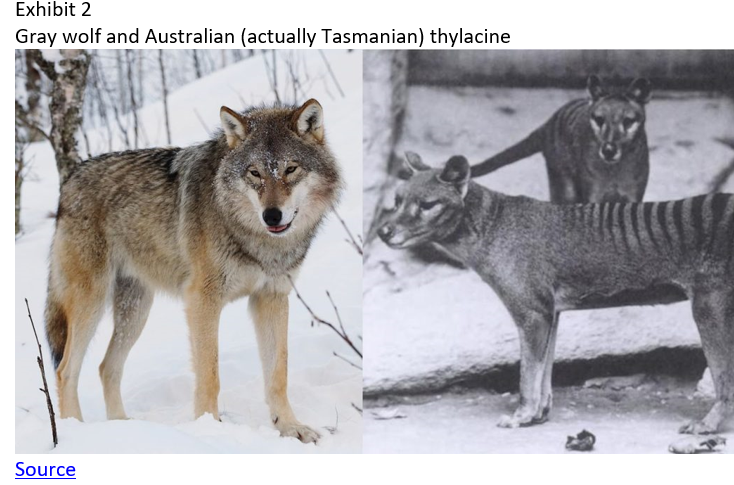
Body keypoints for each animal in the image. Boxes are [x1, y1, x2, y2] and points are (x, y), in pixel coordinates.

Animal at [45, 99, 342, 443]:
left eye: (290, 169)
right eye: (254, 173)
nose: (271, 215)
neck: (255, 238)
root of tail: (70, 180)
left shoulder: (271, 298)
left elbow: (278, 374)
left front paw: (290, 428)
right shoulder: (202, 300)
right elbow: (210, 374)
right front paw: (210, 428)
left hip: (136, 311)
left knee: (107, 367)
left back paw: (124, 427)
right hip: (91, 303)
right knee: (66, 370)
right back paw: (74, 432)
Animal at [379, 152, 734, 434]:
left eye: (427, 204)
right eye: (396, 201)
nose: (383, 231)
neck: (495, 225)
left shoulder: (531, 313)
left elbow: (527, 374)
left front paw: (520, 416)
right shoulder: (551, 312)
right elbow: (545, 371)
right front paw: (538, 414)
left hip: (709, 307)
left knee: (725, 379)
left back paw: (707, 425)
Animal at [470, 75, 652, 203]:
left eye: (628, 121)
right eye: (599, 119)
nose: (608, 150)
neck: (614, 171)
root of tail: (548, 124)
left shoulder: (633, 195)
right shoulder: (593, 194)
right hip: (565, 187)